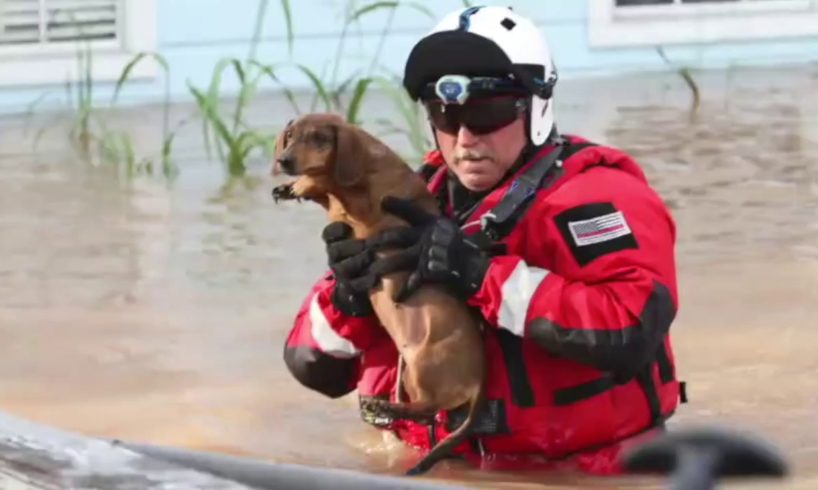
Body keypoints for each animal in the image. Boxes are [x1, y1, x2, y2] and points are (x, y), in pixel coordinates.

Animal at [272, 114, 484, 474]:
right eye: (290, 136)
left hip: (427, 363)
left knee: (428, 408)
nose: (285, 161)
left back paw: (385, 407)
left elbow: (325, 184)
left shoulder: (363, 203)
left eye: (319, 138)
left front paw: (303, 185)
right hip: (412, 374)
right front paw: (291, 188)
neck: (368, 166)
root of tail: (480, 383)